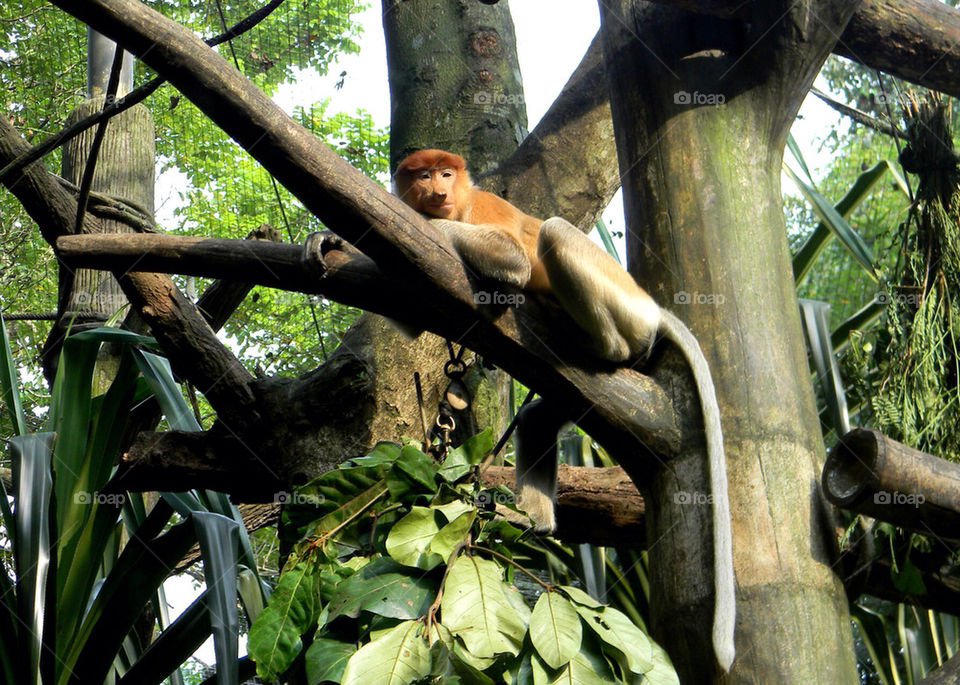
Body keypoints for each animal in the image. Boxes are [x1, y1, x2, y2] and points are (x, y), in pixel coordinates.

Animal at [393, 148, 735, 671]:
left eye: (446, 173)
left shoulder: (482, 207)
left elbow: (513, 258)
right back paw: (533, 521)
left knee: (554, 230)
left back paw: (601, 345)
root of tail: (652, 307)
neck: (462, 202)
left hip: (625, 307)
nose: (437, 191)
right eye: (423, 174)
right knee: (537, 420)